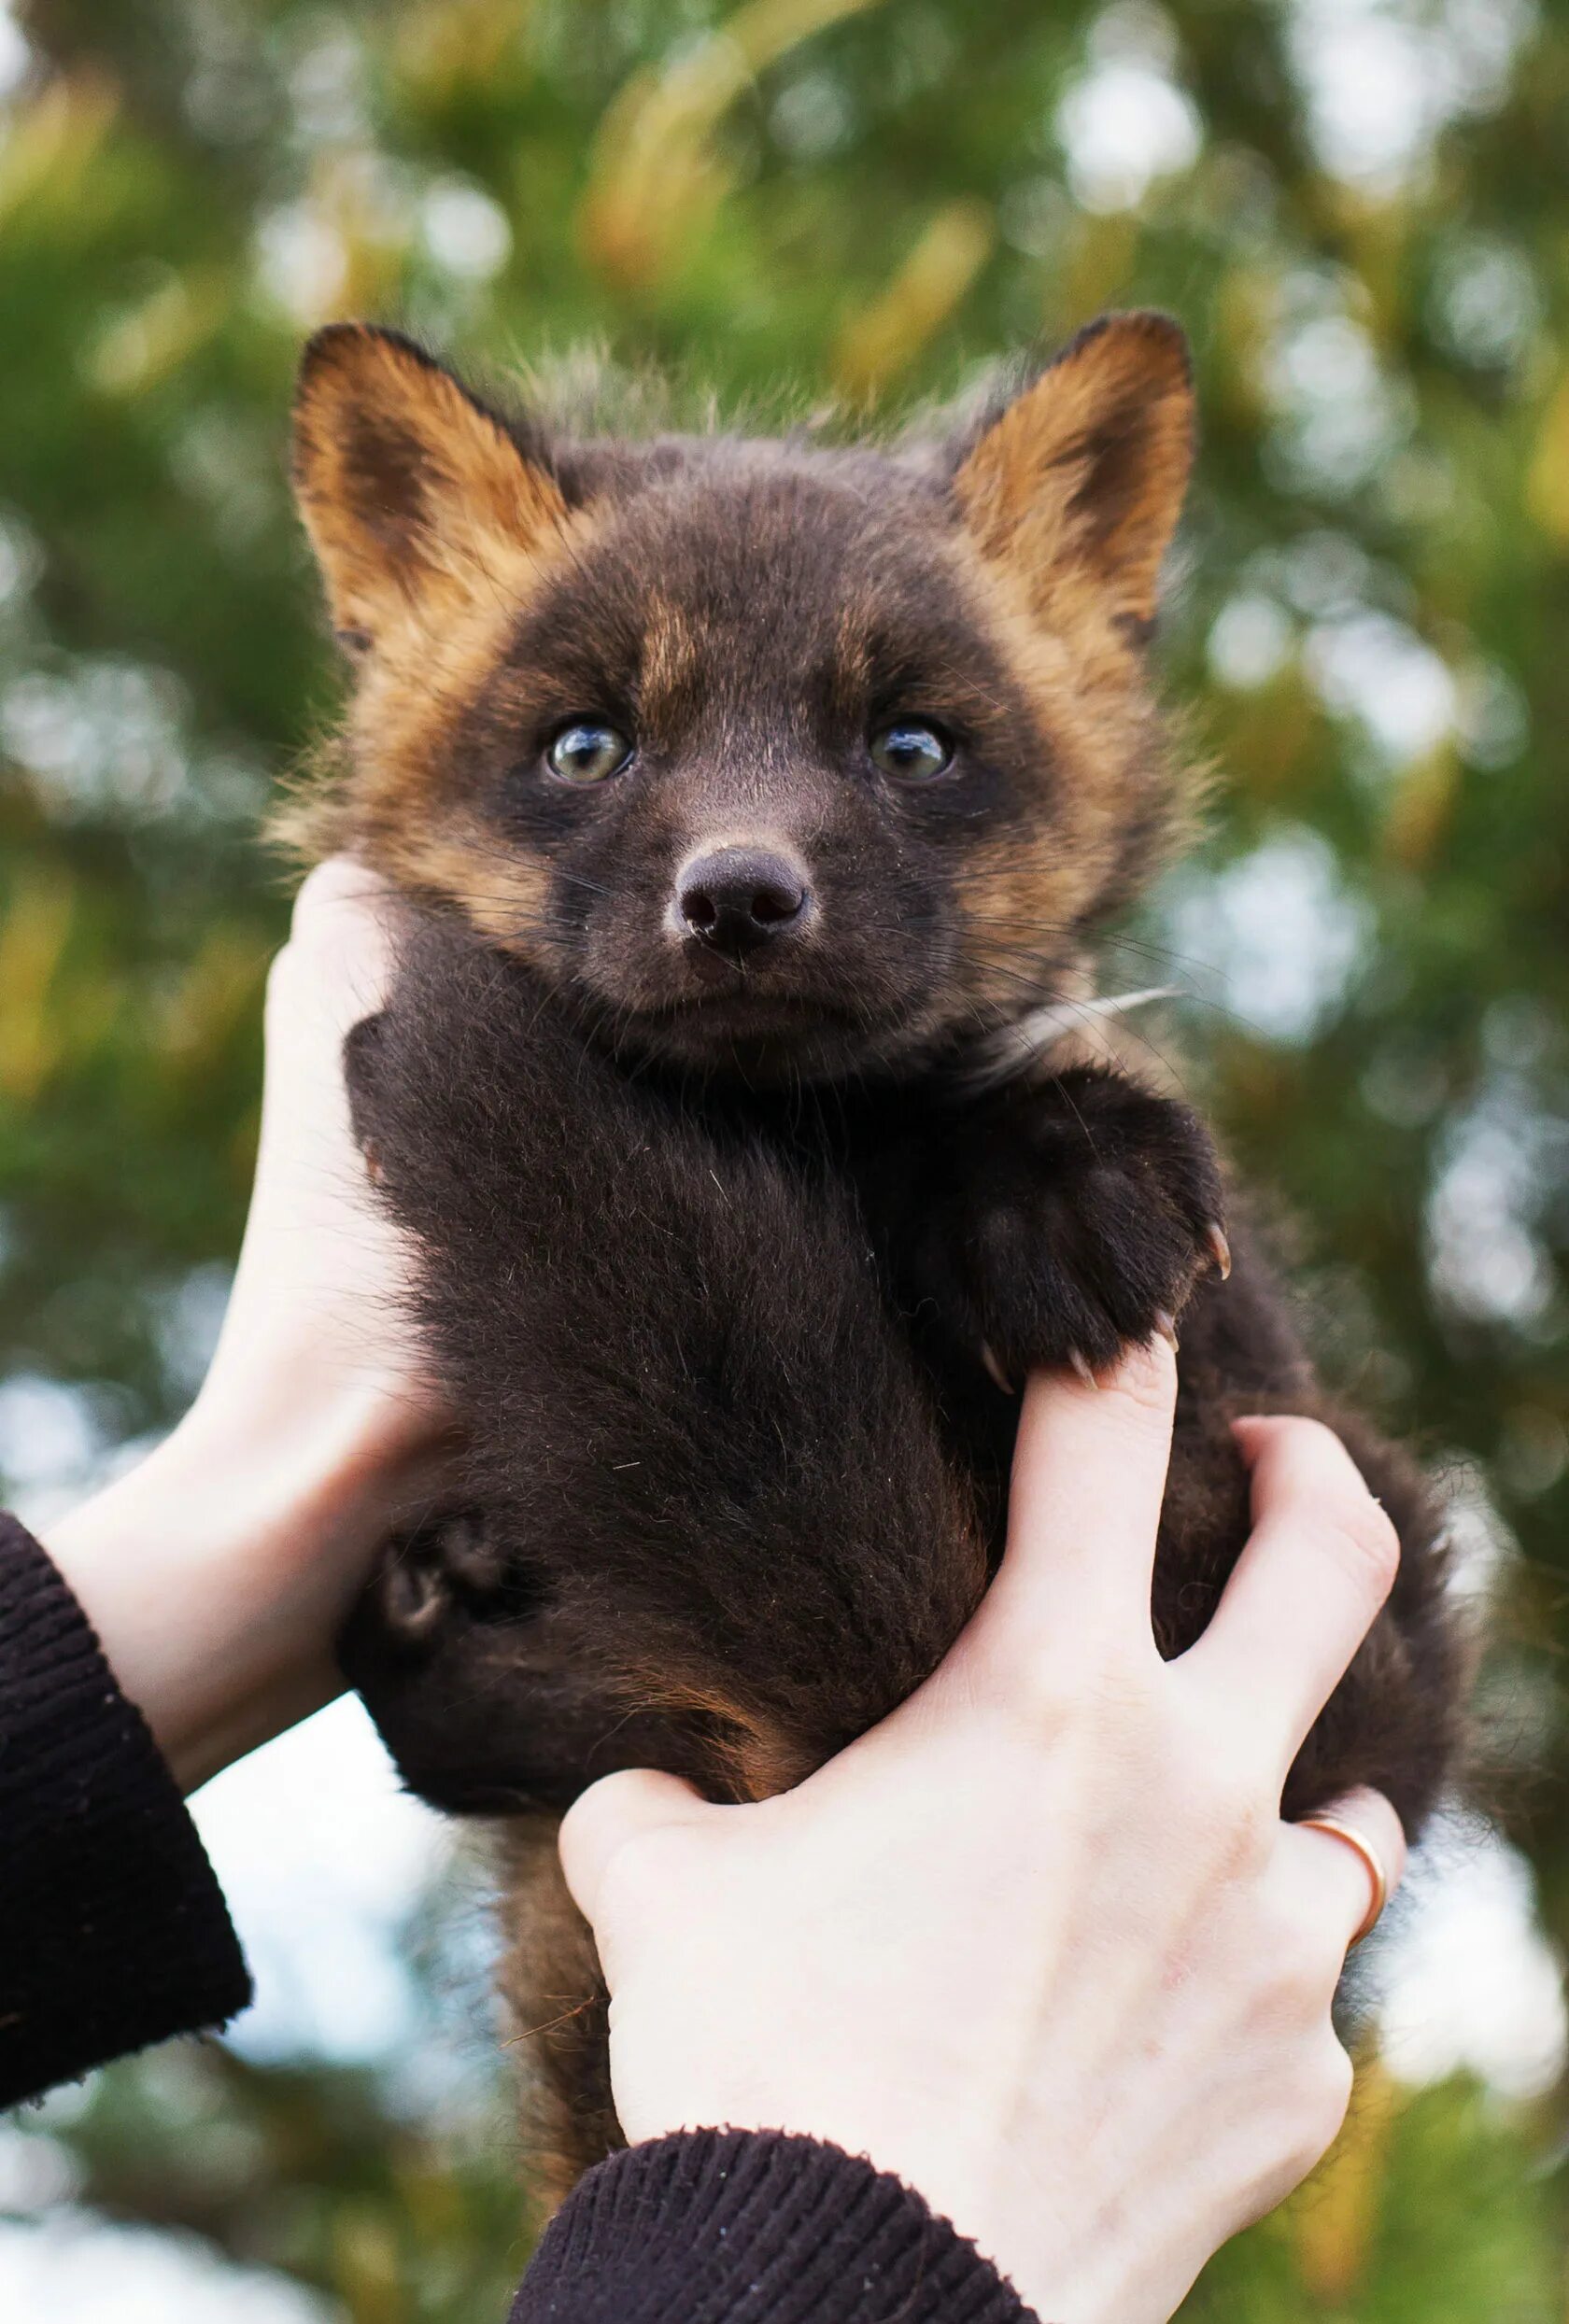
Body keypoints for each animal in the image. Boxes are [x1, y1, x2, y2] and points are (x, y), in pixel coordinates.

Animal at [282, 317, 1468, 2203]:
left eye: (911, 748)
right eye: (586, 747)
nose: (740, 899)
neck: (800, 1151)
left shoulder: (1244, 1390)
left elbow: (1018, 1105)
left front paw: (1061, 1182)